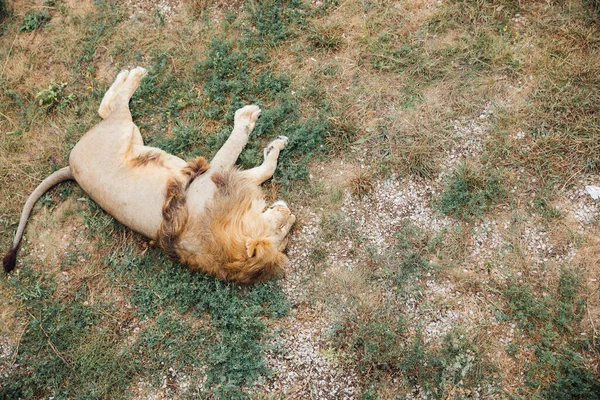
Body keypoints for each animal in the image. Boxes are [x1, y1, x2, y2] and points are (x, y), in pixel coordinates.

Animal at [2, 67, 296, 282]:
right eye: (281, 228)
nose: (291, 213)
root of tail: (71, 168)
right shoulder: (213, 174)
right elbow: (240, 146)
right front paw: (249, 118)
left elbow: (262, 170)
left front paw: (273, 145)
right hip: (121, 130)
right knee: (115, 107)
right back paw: (135, 74)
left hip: (132, 135)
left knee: (106, 109)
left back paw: (129, 75)